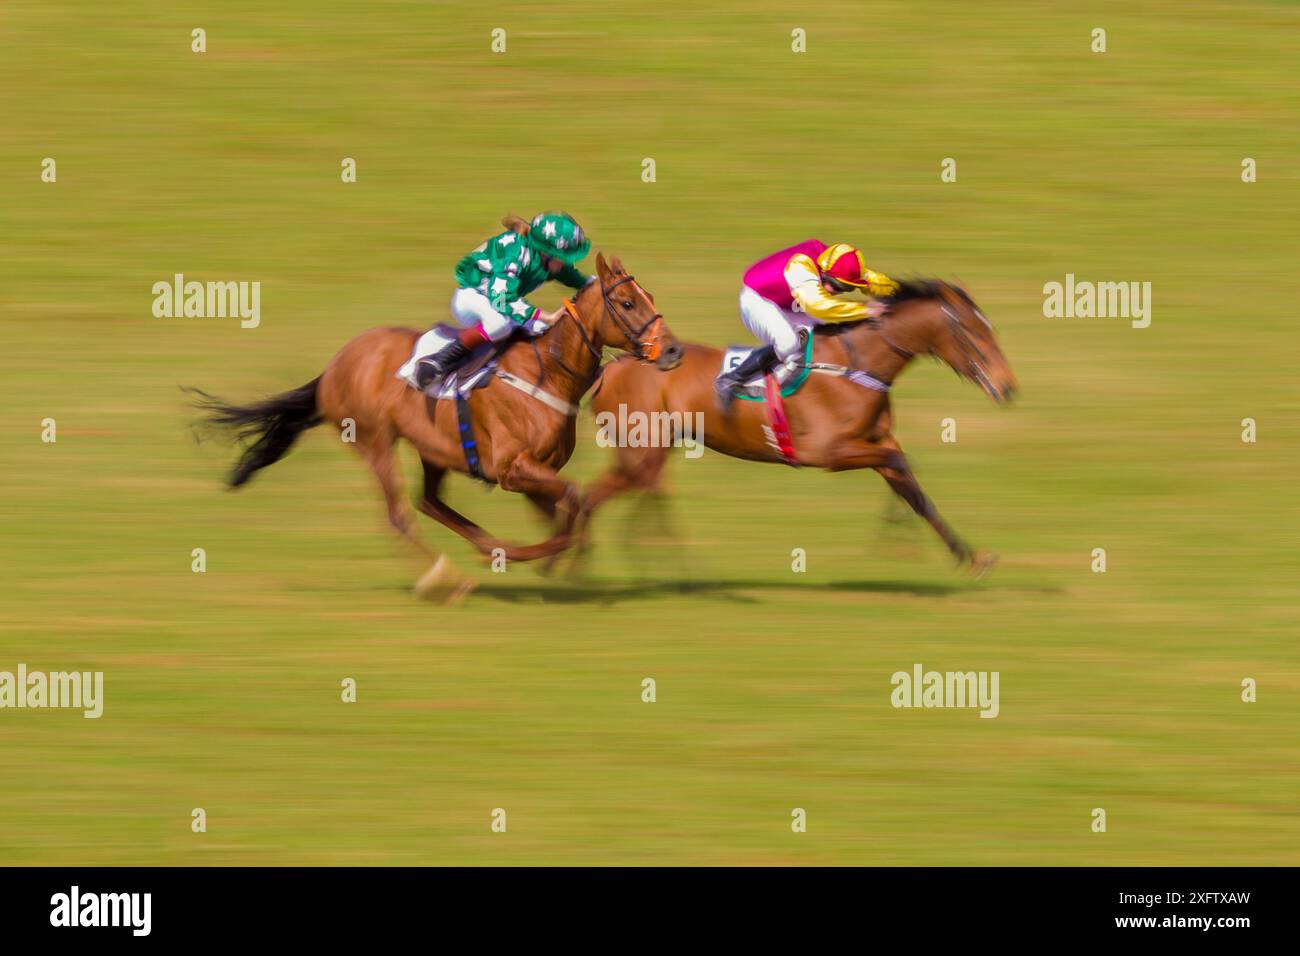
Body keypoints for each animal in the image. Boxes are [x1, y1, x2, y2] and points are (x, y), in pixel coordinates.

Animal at [192, 254, 686, 598]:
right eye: (626, 302)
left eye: (650, 297)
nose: (673, 351)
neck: (547, 371)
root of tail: (335, 365)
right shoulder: (511, 470)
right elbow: (573, 502)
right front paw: (539, 558)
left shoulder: (535, 472)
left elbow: (568, 510)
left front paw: (549, 561)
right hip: (374, 440)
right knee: (400, 515)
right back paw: (446, 578)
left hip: (432, 449)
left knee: (430, 502)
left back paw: (486, 550)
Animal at [577, 278, 1013, 574]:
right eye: (975, 333)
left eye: (990, 329)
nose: (1008, 387)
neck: (857, 364)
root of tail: (613, 365)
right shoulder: (831, 452)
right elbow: (902, 464)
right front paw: (899, 533)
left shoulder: (875, 442)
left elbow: (913, 488)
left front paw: (970, 556)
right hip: (644, 449)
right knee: (603, 496)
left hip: (650, 451)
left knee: (609, 495)